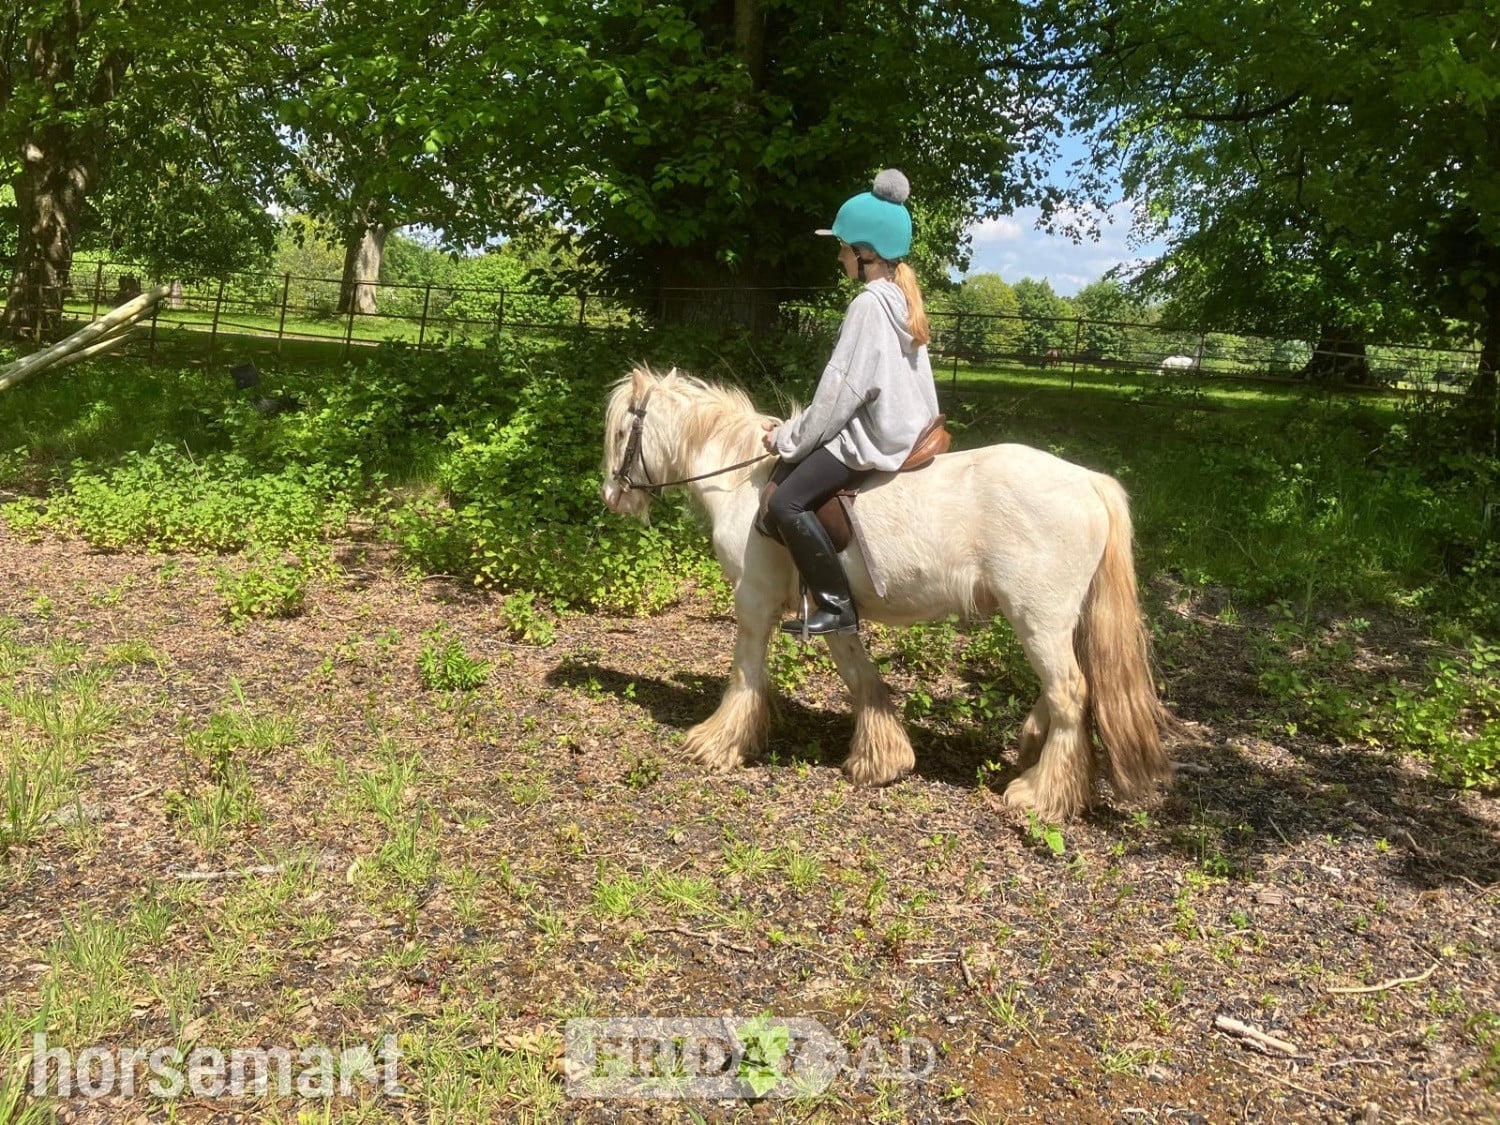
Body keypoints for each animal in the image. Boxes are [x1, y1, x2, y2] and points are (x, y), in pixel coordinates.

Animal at [600, 365, 1174, 822]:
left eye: (624, 431)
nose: (611, 496)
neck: (743, 481)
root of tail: (1089, 481)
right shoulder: (828, 606)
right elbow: (860, 674)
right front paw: (883, 758)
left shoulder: (754, 601)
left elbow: (744, 674)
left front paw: (716, 742)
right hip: (1054, 622)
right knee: (1067, 690)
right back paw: (1034, 748)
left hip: (1037, 619)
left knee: (1070, 692)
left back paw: (1042, 793)